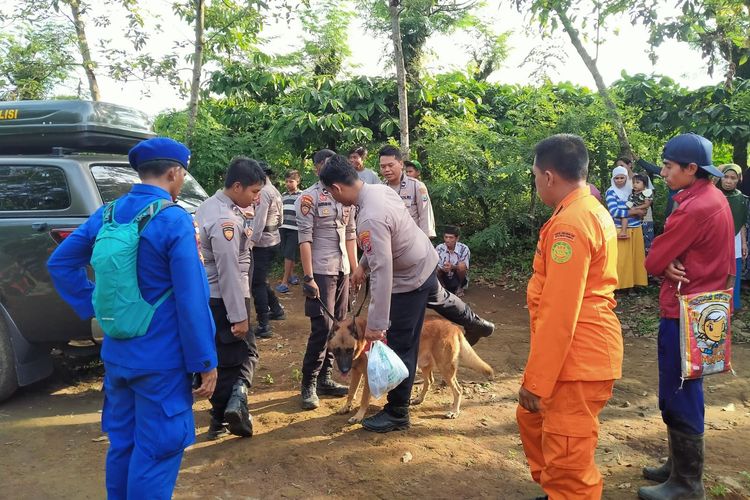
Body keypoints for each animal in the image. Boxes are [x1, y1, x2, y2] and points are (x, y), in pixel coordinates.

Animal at [330, 316, 496, 422]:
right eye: (337, 350)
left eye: (349, 350)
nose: (344, 370)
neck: (362, 337)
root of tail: (453, 326)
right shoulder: (356, 372)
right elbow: (351, 392)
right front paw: (346, 407)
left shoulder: (367, 377)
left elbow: (364, 399)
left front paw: (358, 416)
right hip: (424, 365)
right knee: (430, 381)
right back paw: (419, 399)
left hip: (446, 369)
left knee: (458, 390)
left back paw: (454, 412)